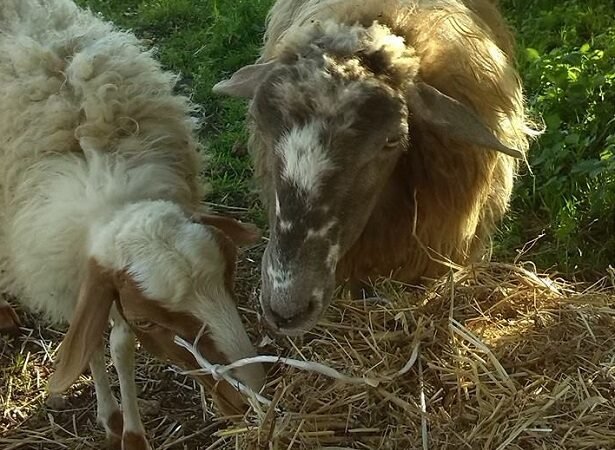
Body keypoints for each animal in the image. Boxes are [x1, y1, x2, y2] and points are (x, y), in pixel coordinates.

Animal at [1, 1, 268, 448]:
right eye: (148, 320)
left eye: (230, 276)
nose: (251, 395)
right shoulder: (74, 280)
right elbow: (91, 343)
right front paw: (112, 419)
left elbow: (120, 347)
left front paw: (131, 427)